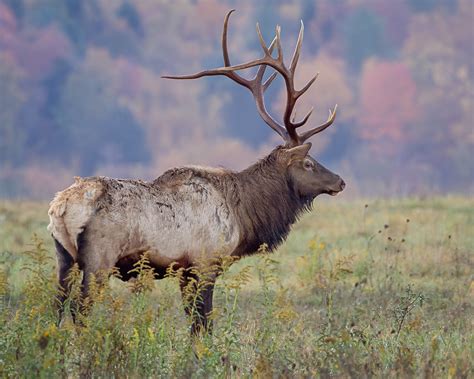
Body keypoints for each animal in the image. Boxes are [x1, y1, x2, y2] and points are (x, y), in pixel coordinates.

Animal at [47, 10, 344, 334]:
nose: (340, 181)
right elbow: (203, 324)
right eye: (308, 162)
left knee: (56, 307)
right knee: (80, 309)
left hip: (64, 257)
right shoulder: (205, 263)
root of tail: (61, 207)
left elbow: (194, 323)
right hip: (98, 258)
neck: (244, 215)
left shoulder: (185, 271)